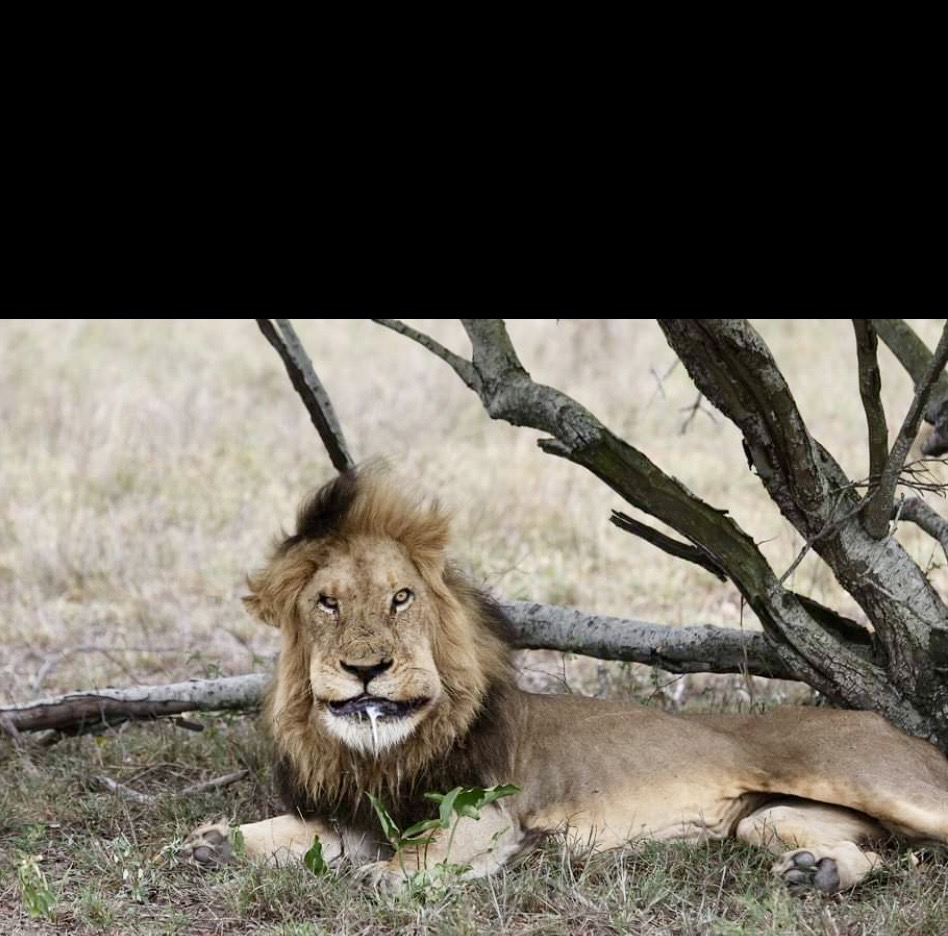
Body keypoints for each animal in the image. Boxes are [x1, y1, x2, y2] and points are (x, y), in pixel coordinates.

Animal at [183, 466, 948, 894]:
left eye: (401, 598)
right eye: (327, 603)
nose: (364, 667)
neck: (380, 754)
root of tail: (885, 722)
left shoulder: (487, 812)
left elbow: (423, 851)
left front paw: (387, 876)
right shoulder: (360, 811)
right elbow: (298, 831)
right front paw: (214, 843)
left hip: (869, 779)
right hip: (766, 819)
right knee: (870, 855)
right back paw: (820, 874)